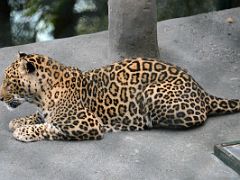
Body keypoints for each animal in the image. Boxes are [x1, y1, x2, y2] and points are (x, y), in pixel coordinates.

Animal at [0, 52, 239, 142]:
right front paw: (19, 121)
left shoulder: (87, 123)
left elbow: (50, 128)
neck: (42, 94)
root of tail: (201, 89)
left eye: (8, 81)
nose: (0, 98)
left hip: (152, 93)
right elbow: (39, 117)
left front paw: (23, 131)